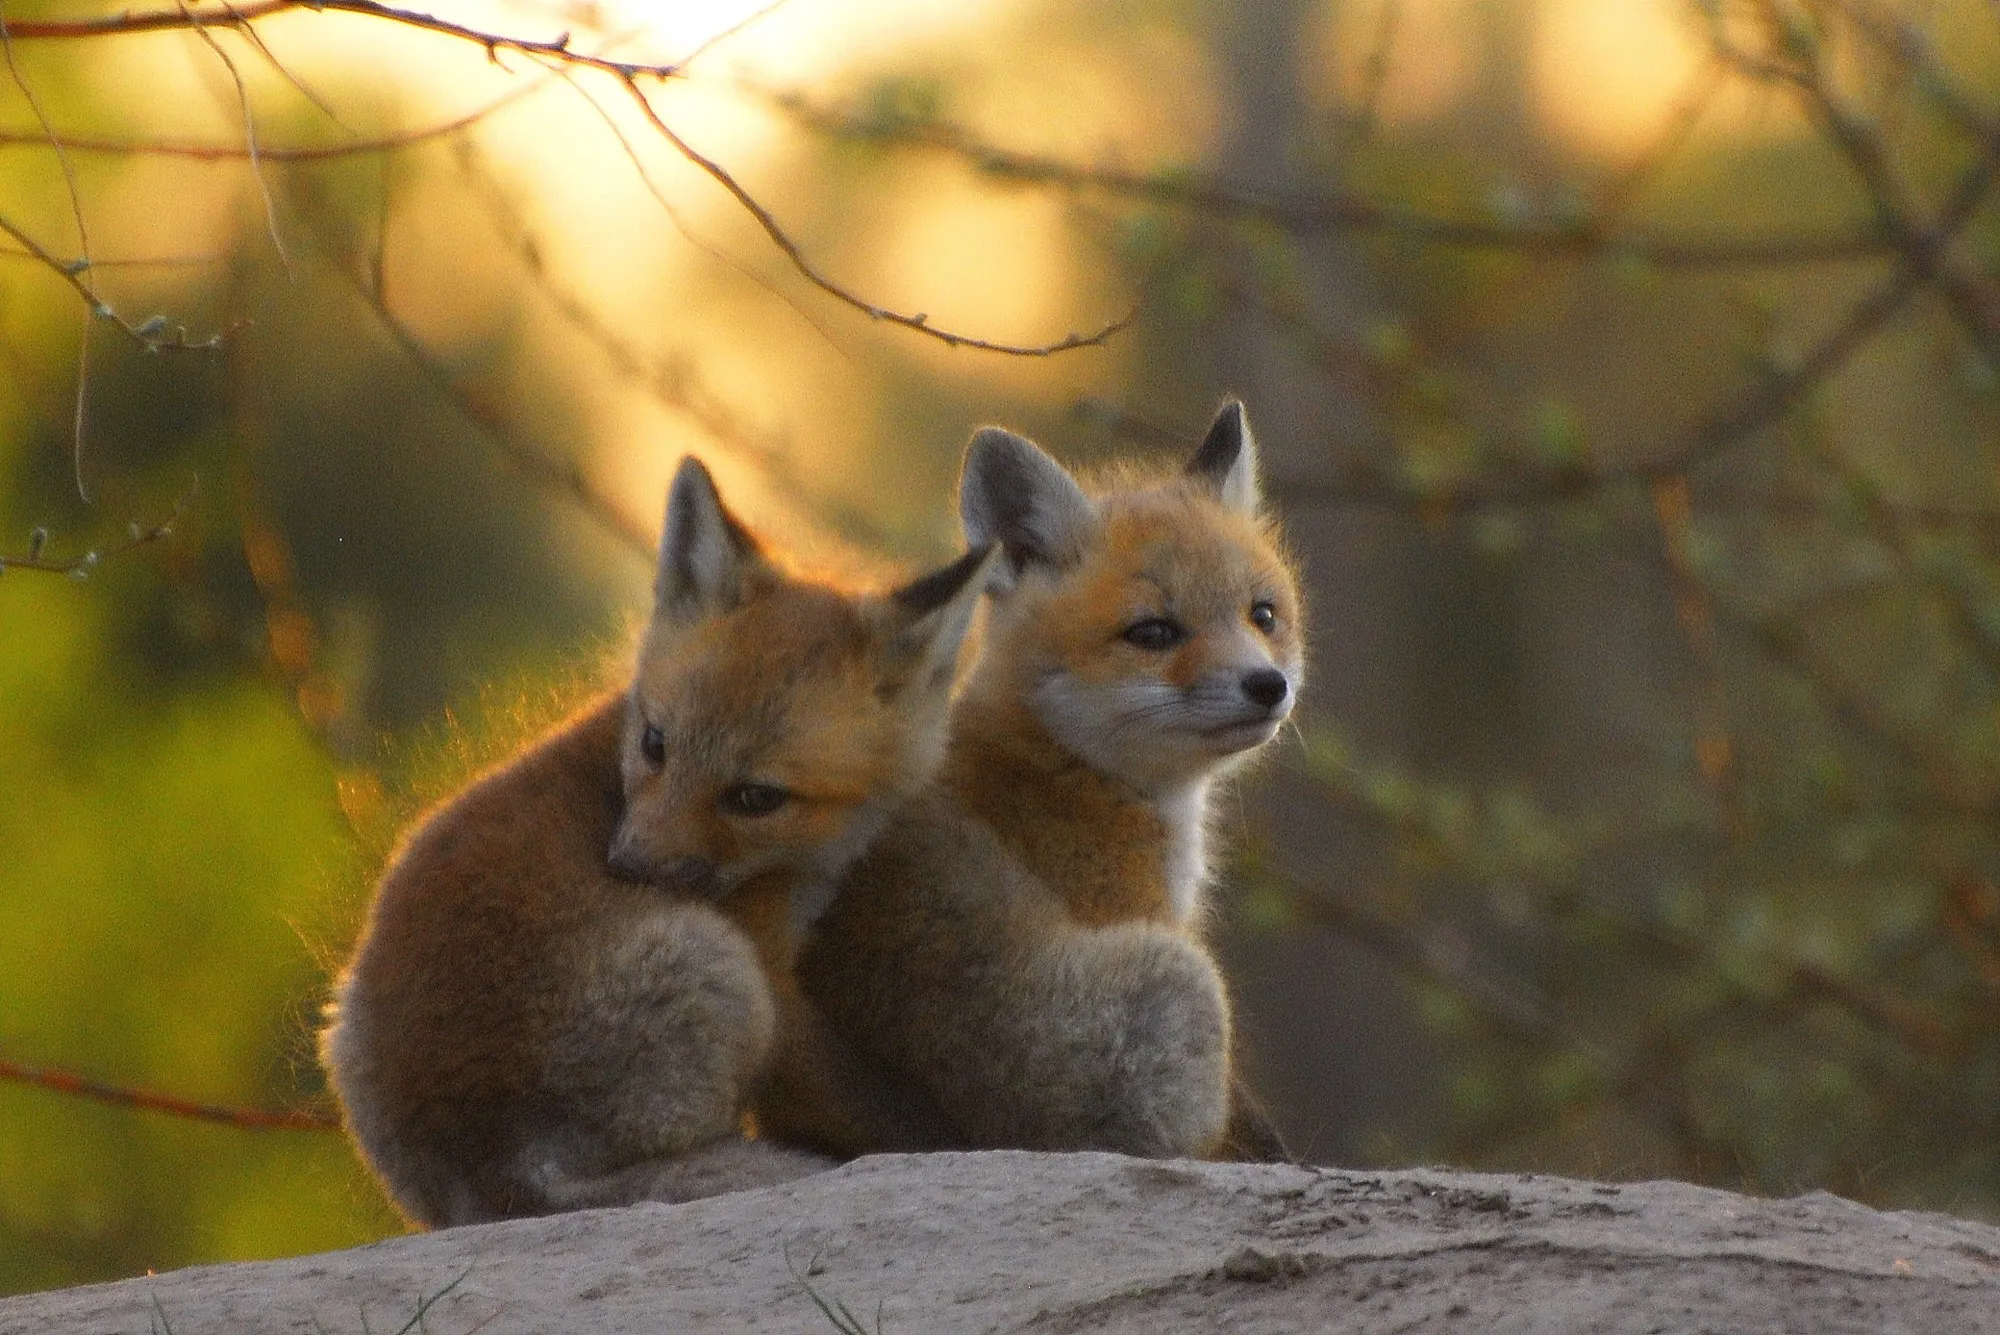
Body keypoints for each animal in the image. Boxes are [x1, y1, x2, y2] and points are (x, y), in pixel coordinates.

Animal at [321, 456, 988, 1227]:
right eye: (656, 743)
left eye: (756, 796)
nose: (626, 865)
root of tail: (493, 1174)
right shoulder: (772, 979)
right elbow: (855, 1099)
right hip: (720, 969)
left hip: (340, 1028)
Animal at [776, 401, 1302, 1161]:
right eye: (1153, 632)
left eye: (1262, 615)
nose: (1268, 686)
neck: (1066, 764)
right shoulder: (1138, 916)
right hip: (1182, 987)